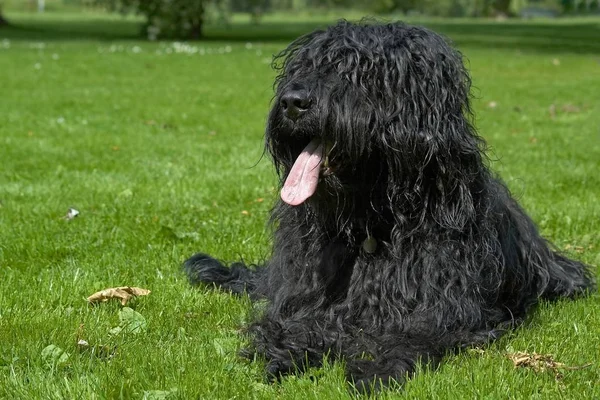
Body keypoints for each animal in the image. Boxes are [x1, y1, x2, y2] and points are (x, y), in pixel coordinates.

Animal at [184, 20, 596, 392]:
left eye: (359, 72)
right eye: (304, 67)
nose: (292, 102)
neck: (371, 219)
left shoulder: (445, 307)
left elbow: (412, 334)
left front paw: (376, 368)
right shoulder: (307, 292)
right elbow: (299, 321)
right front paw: (287, 350)